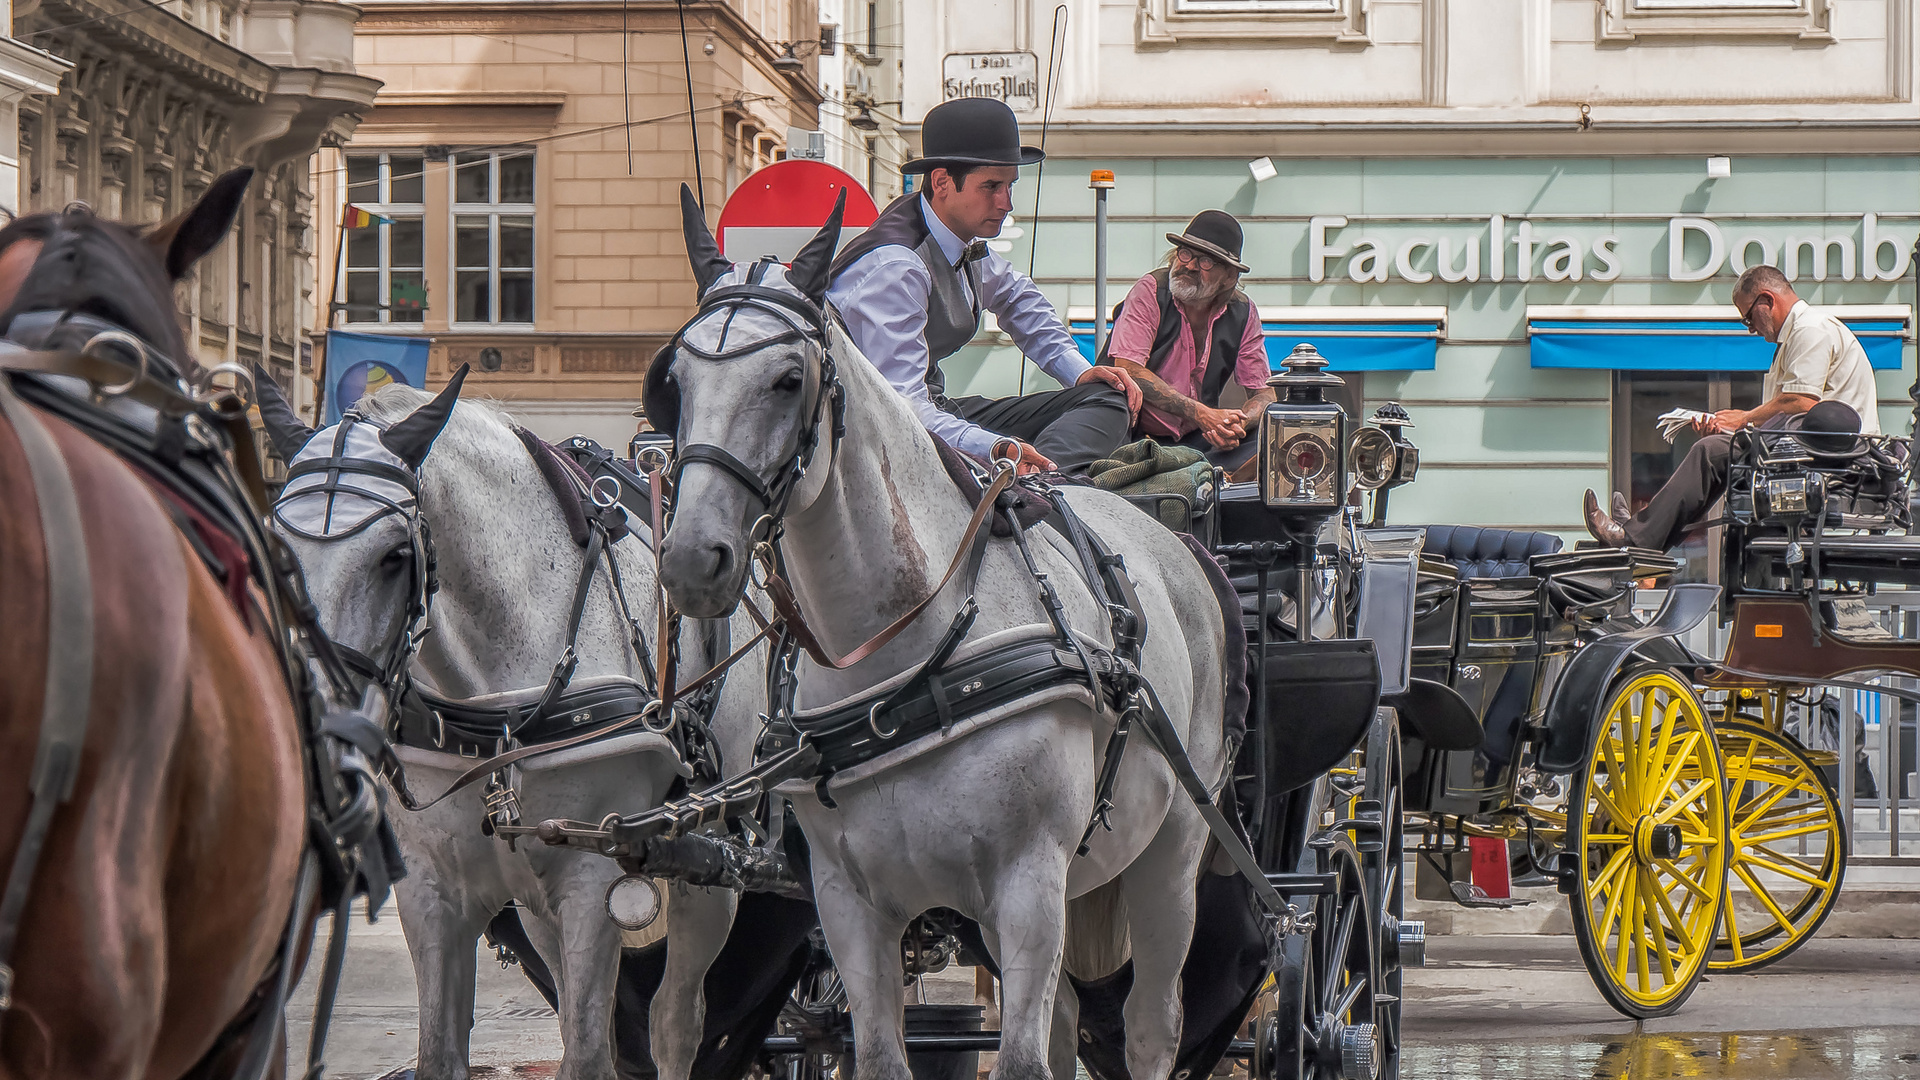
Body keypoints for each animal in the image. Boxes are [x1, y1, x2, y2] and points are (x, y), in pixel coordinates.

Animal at [263, 372, 756, 1076]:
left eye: (394, 556)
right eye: (276, 549)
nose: (318, 739)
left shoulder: (592, 884)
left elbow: (589, 1055)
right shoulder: (434, 890)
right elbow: (442, 1053)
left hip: (711, 865)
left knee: (676, 1022)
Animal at [652, 189, 1228, 1076]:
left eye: (789, 380)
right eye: (675, 384)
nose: (690, 557)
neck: (904, 660)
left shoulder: (1028, 887)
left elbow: (1024, 1060)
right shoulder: (851, 905)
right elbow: (888, 1055)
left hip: (1170, 853)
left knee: (1151, 1025)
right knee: (1067, 1022)